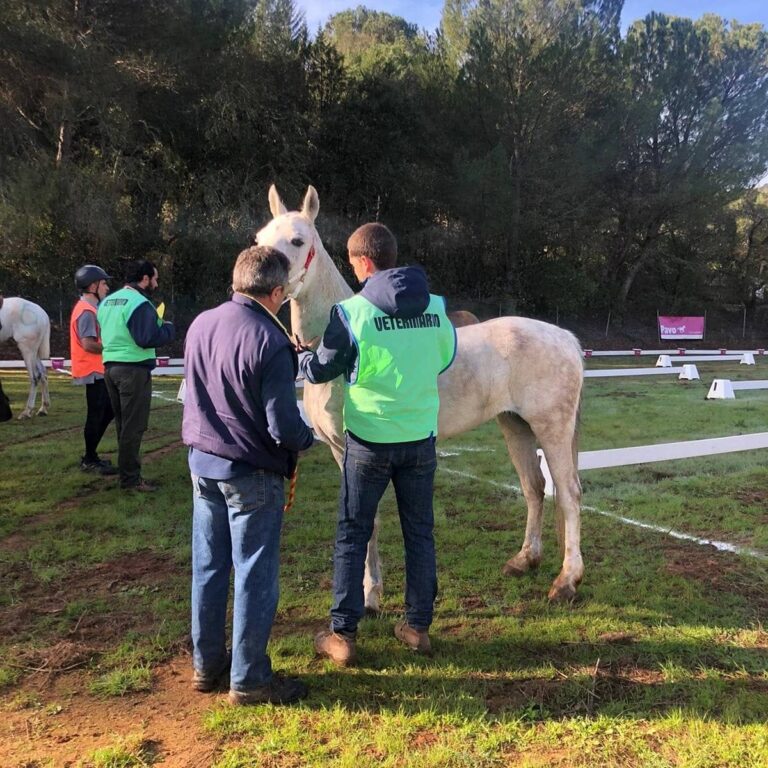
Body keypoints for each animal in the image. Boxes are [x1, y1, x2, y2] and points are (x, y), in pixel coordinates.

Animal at [256, 186, 585, 605]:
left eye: (297, 241)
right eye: (260, 239)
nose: (260, 276)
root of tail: (566, 339)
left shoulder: (356, 452)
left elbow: (367, 519)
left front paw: (369, 595)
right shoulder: (337, 451)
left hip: (551, 429)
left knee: (569, 494)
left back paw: (566, 581)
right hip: (515, 426)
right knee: (534, 487)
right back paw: (524, 561)